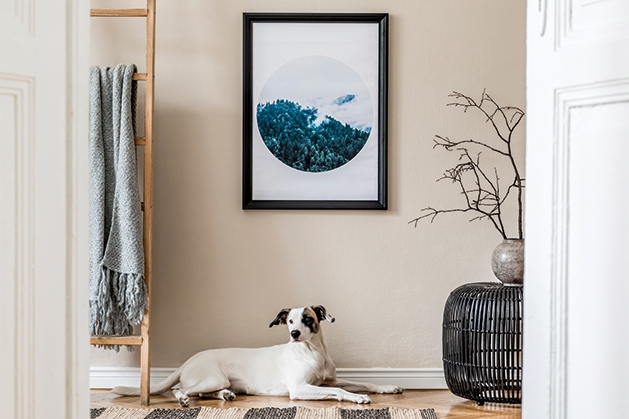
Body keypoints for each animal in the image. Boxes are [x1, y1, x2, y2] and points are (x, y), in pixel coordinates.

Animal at [111, 306, 402, 406]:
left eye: (308, 318)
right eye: (289, 321)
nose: (294, 333)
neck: (313, 352)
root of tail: (188, 361)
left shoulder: (328, 381)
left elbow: (362, 382)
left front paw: (388, 387)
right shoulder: (300, 388)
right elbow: (342, 391)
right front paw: (358, 398)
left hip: (218, 382)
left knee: (203, 393)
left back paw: (225, 396)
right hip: (212, 377)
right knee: (180, 389)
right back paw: (183, 399)